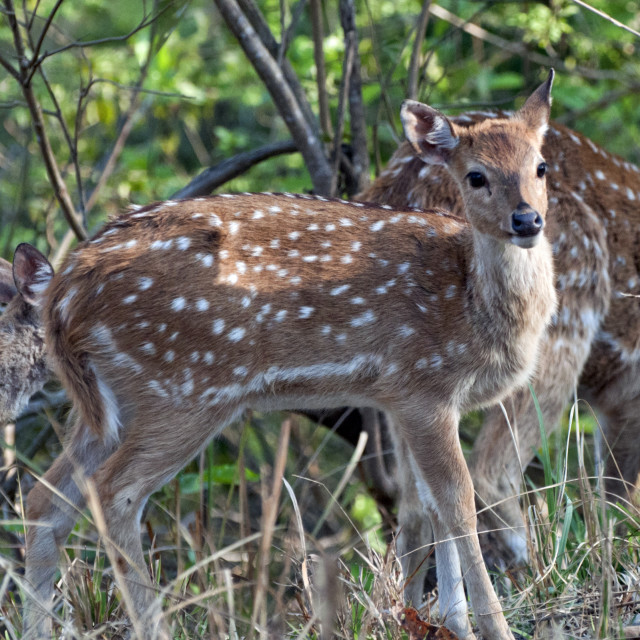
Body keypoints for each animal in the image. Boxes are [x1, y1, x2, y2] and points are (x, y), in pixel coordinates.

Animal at [13, 72, 556, 636]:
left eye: (540, 165)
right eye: (475, 176)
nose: (526, 220)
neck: (471, 302)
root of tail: (63, 292)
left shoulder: (403, 399)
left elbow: (426, 506)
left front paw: (453, 621)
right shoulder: (423, 386)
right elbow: (457, 502)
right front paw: (491, 626)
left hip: (109, 402)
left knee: (45, 499)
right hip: (185, 387)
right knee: (114, 494)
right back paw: (154, 623)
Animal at [358, 87, 640, 572]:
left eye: (541, 167)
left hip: (403, 371)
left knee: (414, 506)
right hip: (560, 328)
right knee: (490, 474)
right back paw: (539, 570)